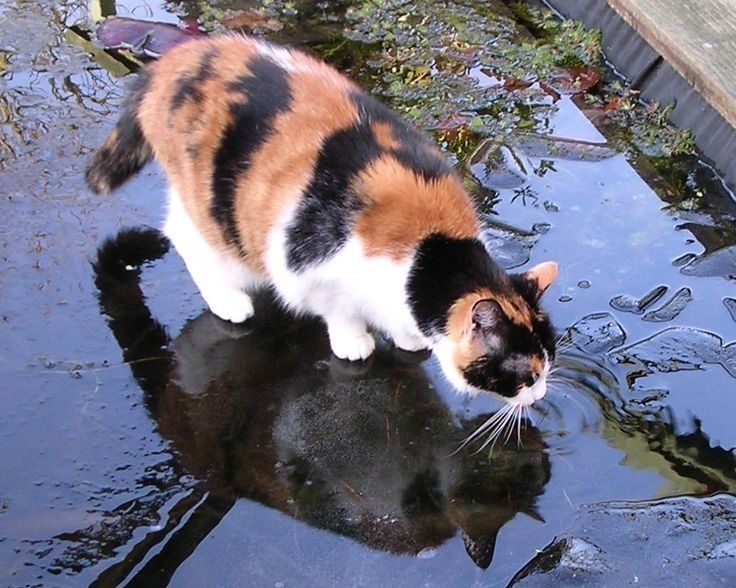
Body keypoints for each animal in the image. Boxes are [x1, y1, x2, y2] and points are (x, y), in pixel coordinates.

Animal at [86, 34, 556, 406]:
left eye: (549, 361)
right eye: (526, 374)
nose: (541, 395)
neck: (428, 254)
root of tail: (171, 62)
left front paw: (407, 336)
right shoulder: (310, 268)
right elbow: (340, 310)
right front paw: (355, 341)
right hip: (208, 204)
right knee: (183, 235)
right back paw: (229, 302)